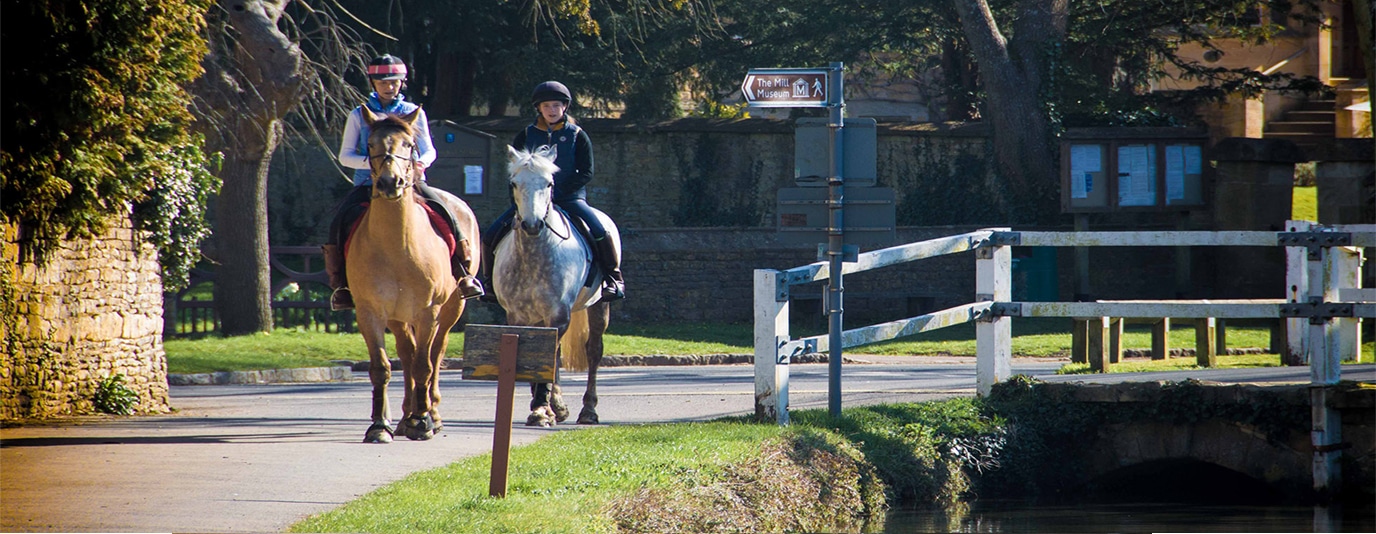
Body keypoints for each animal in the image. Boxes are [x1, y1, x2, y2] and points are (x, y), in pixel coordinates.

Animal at [346, 107, 481, 443]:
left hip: (452, 309)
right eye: (370, 144)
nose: (389, 182)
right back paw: (405, 416)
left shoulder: (428, 311)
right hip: (398, 316)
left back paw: (431, 413)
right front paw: (379, 426)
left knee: (434, 354)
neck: (398, 244)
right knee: (406, 355)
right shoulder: (370, 312)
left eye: (408, 144)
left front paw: (423, 421)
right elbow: (382, 367)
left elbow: (424, 364)